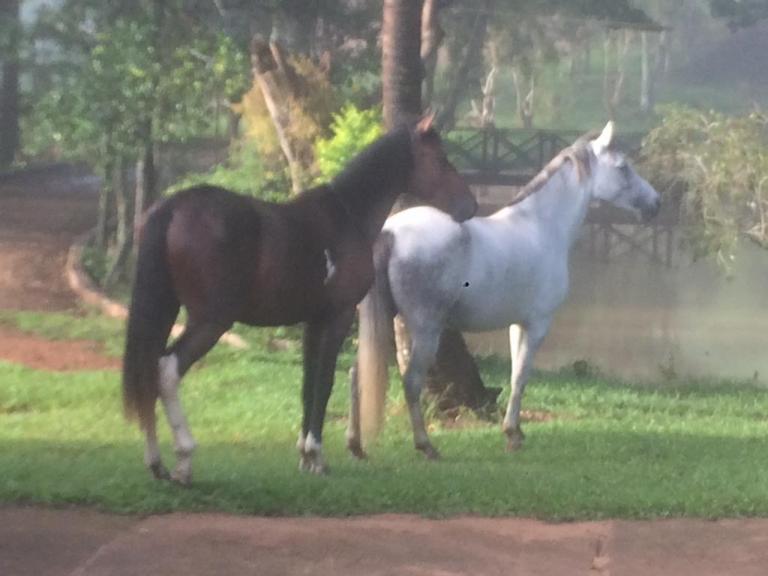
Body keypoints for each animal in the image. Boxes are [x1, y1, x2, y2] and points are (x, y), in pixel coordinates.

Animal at [123, 116, 476, 482]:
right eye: (439, 159)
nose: (470, 204)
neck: (346, 215)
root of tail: (175, 207)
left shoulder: (312, 322)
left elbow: (308, 386)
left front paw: (305, 456)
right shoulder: (337, 317)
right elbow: (325, 383)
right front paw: (316, 454)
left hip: (168, 310)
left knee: (147, 372)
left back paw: (156, 463)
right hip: (210, 321)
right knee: (166, 369)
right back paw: (184, 457)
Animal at [346, 122, 660, 460]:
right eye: (623, 167)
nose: (656, 204)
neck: (540, 227)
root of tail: (390, 233)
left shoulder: (515, 324)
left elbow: (513, 375)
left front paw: (514, 431)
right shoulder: (538, 324)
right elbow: (521, 376)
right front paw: (512, 435)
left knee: (356, 374)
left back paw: (355, 445)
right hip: (425, 328)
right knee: (412, 381)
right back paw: (426, 446)